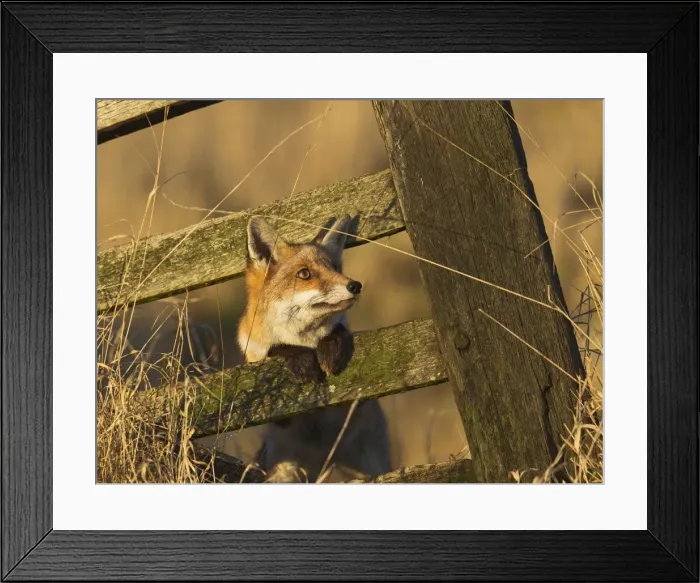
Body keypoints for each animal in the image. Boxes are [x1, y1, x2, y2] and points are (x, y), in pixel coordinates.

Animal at [237, 215, 392, 483]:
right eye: (305, 273)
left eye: (335, 268)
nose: (355, 285)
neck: (305, 340)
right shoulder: (273, 412)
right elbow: (277, 350)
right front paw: (300, 359)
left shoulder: (358, 401)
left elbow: (337, 331)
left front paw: (330, 348)